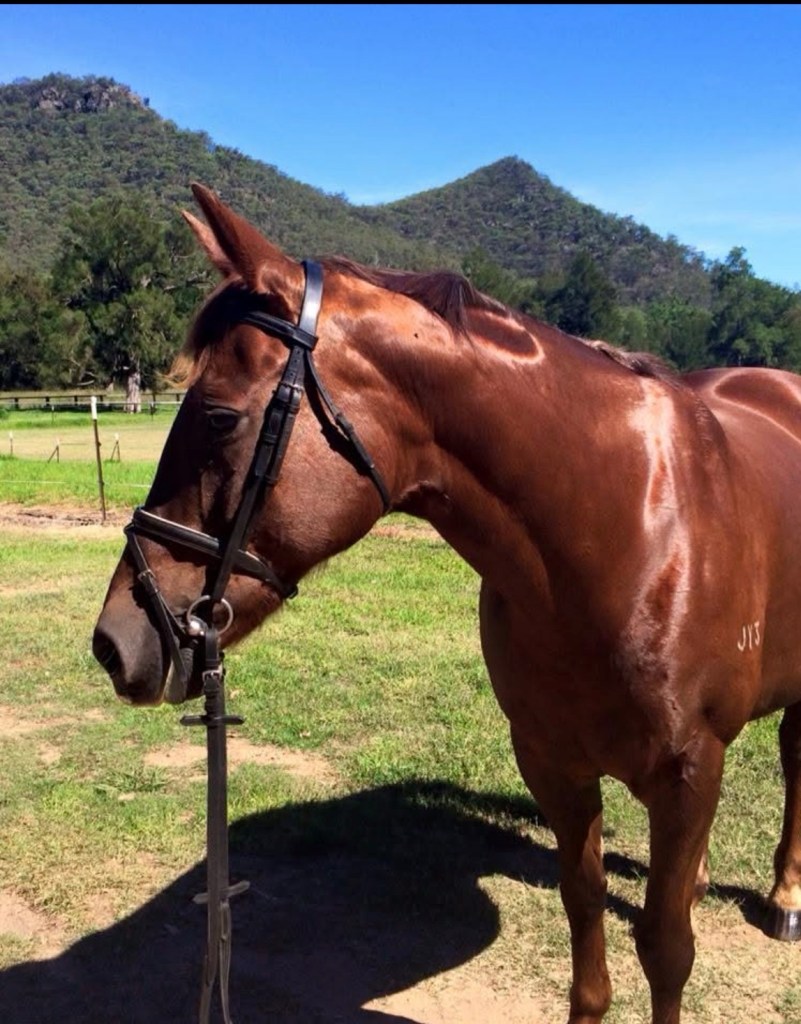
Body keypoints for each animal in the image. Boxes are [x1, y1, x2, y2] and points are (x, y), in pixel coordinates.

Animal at [92, 183, 801, 1024]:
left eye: (219, 415)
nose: (114, 640)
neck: (624, 529)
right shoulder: (552, 762)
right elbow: (583, 906)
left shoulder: (688, 770)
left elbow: (666, 947)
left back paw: (785, 898)